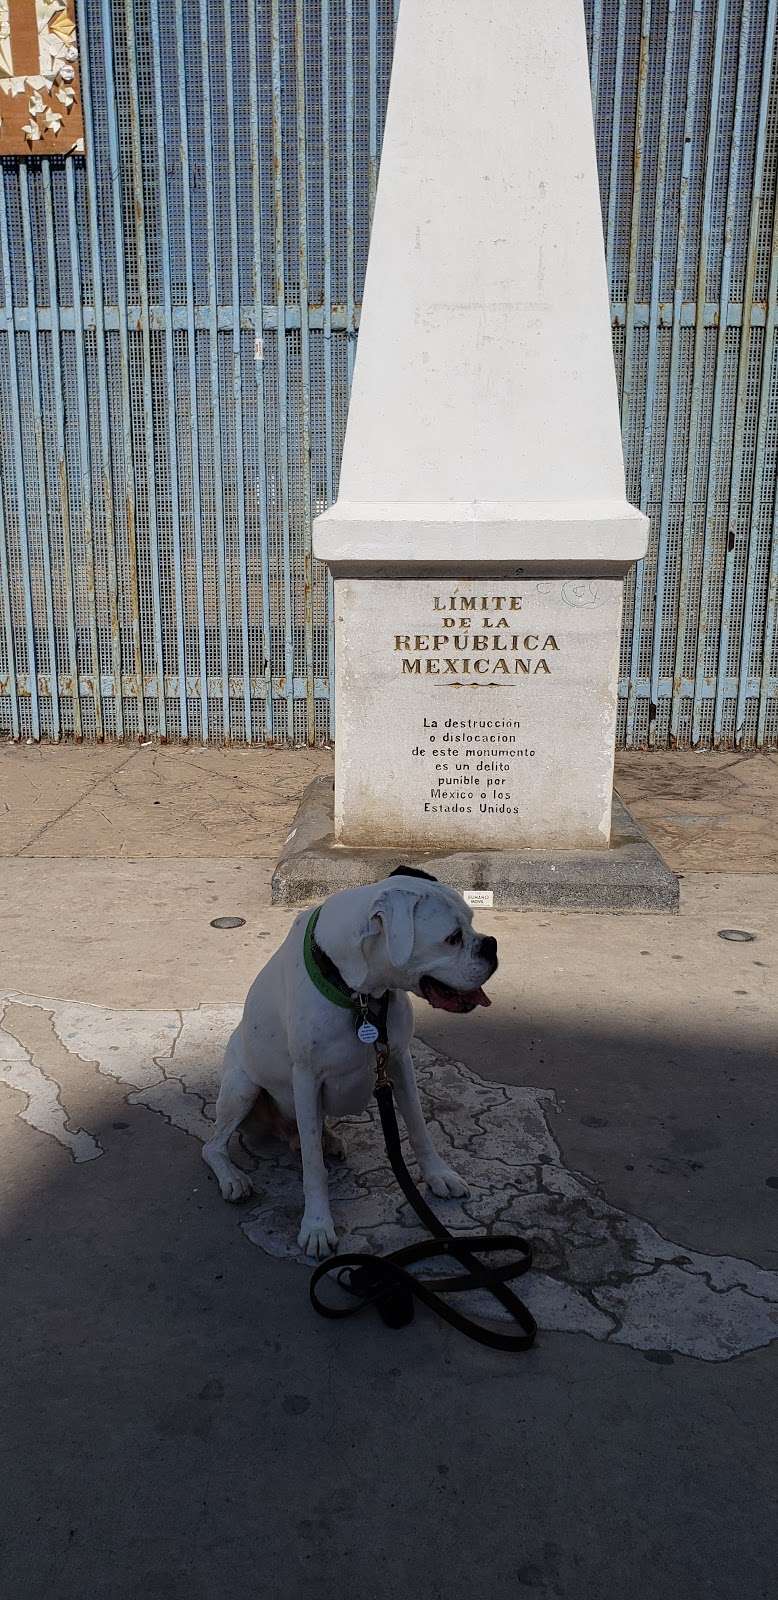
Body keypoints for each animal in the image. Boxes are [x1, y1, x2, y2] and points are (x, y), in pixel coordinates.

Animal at [204, 870, 499, 1254]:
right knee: (214, 1146)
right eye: (451, 938)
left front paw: (438, 1176)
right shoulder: (306, 1080)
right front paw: (316, 1225)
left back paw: (325, 1139)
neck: (359, 992)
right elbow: (313, 1169)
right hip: (241, 1090)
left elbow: (419, 1128)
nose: (491, 945)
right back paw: (234, 1179)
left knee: (305, 1132)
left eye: (472, 922)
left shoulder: (398, 1061)